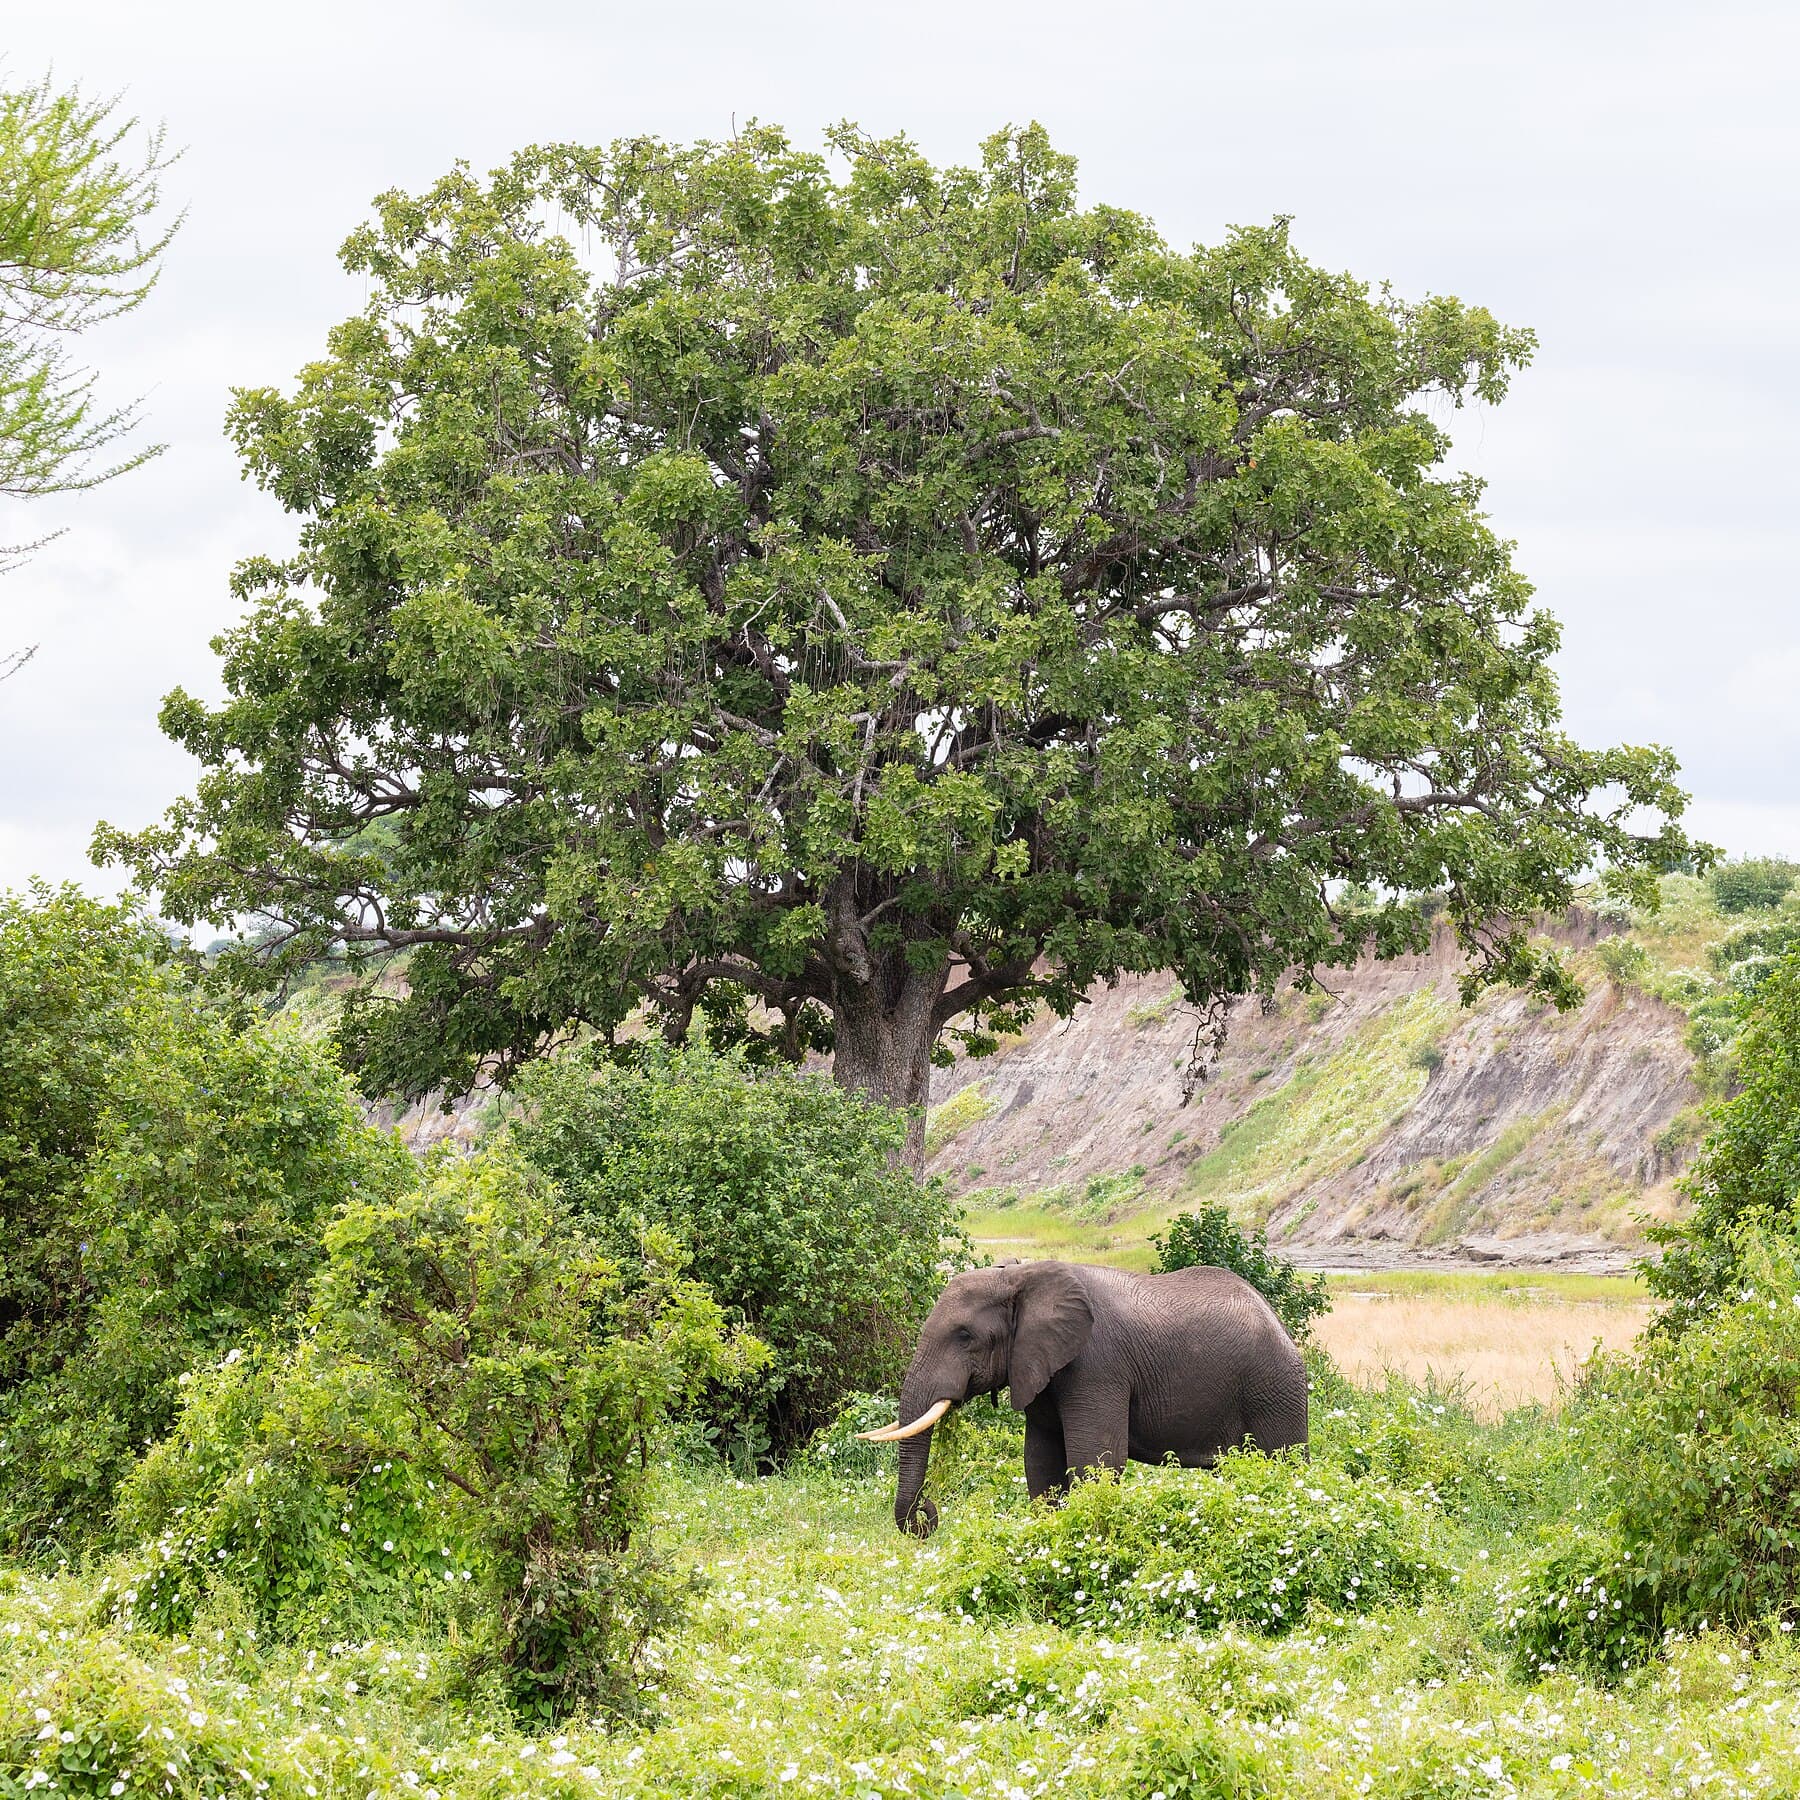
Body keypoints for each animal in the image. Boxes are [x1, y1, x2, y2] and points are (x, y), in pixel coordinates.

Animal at [859, 1258, 1308, 1536]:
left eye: (965, 1336)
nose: (927, 1512)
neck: (1022, 1276)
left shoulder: (1098, 1365)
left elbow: (1097, 1461)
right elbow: (1041, 1463)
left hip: (1274, 1389)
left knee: (1283, 1463)